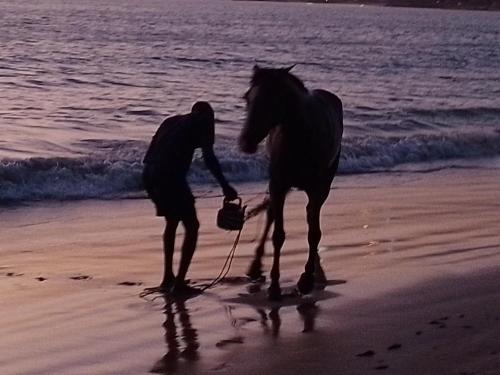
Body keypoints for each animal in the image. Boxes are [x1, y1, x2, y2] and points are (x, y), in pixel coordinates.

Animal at [239, 64, 344, 300]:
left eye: (271, 99)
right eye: (248, 97)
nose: (245, 141)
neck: (300, 137)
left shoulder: (318, 189)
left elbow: (314, 233)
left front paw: (305, 281)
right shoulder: (278, 184)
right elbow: (278, 234)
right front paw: (275, 286)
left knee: (310, 216)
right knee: (271, 215)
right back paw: (255, 266)